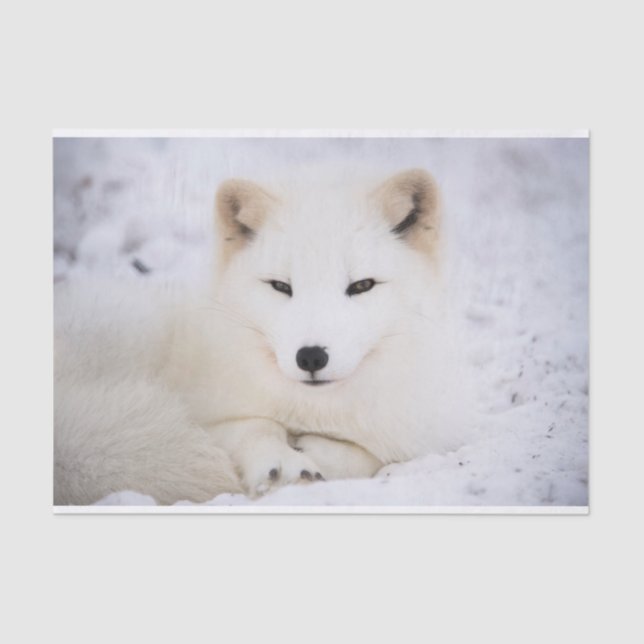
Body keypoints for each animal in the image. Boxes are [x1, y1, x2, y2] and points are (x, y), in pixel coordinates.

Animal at [54, 167, 471, 505]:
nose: (311, 356)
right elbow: (253, 425)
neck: (313, 410)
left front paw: (318, 454)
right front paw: (282, 462)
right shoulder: (209, 415)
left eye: (362, 285)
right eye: (280, 286)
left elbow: (371, 454)